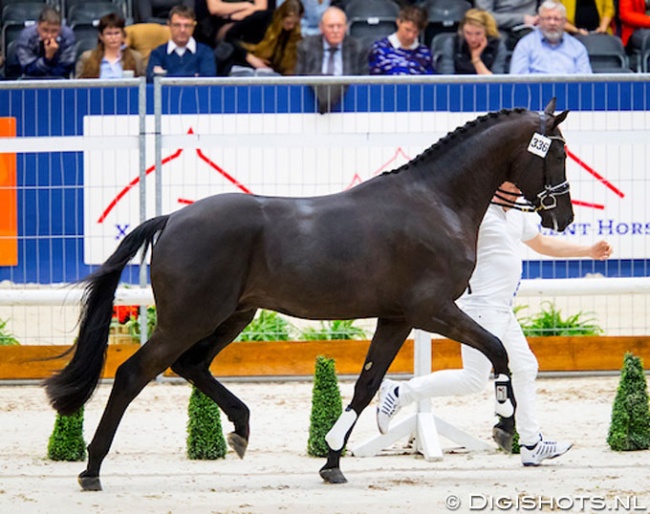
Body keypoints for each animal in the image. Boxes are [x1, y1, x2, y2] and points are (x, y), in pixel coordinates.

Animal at [43, 97, 568, 488]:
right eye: (558, 152)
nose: (563, 217)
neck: (435, 201)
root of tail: (171, 219)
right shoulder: (432, 309)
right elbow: (498, 349)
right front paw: (505, 425)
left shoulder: (397, 317)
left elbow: (368, 384)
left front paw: (332, 459)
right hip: (190, 318)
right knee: (134, 373)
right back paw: (92, 468)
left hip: (233, 315)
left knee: (191, 365)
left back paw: (240, 429)